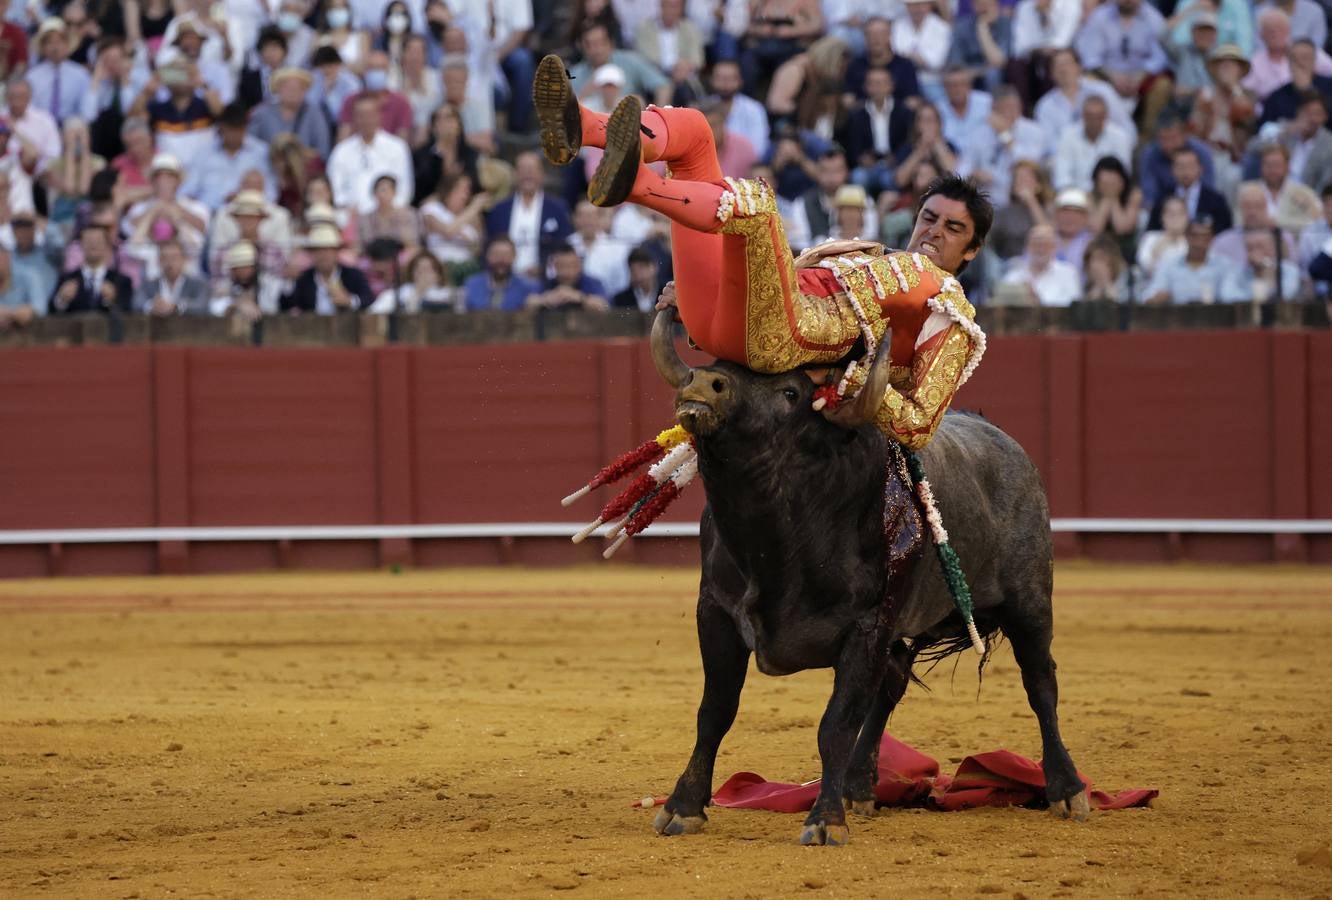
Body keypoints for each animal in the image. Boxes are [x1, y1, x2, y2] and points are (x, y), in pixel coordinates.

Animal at [647, 311, 1092, 841]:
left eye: (791, 393)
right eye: (717, 362)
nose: (703, 384)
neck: (772, 539)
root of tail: (1005, 442)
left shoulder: (866, 626)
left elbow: (835, 722)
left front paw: (824, 820)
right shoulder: (715, 612)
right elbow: (714, 712)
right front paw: (683, 806)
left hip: (1029, 603)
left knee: (1040, 681)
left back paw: (1067, 789)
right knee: (891, 687)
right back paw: (860, 786)